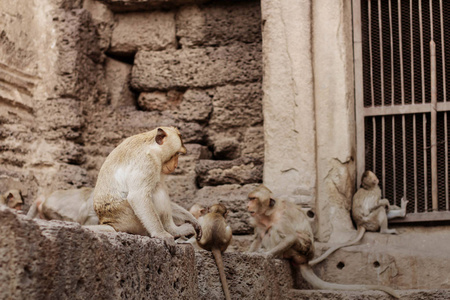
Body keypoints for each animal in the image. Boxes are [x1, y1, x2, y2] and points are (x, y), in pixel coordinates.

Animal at [248, 184, 400, 298]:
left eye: (253, 199)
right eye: (250, 198)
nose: (247, 205)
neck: (269, 213)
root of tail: (305, 260)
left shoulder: (283, 216)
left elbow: (290, 237)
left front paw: (266, 255)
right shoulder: (258, 219)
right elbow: (258, 237)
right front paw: (250, 252)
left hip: (298, 250)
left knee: (274, 230)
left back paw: (277, 254)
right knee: (266, 231)